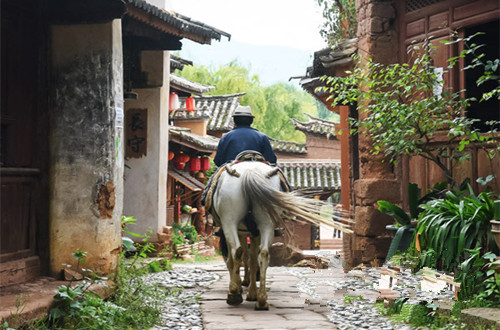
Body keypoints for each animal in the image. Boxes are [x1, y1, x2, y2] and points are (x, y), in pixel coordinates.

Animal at [211, 160, 352, 310]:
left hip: (230, 219)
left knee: (237, 252)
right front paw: (251, 291)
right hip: (266, 220)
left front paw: (241, 288)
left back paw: (234, 295)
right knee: (263, 253)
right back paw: (261, 300)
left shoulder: (239, 232)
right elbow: (252, 259)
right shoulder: (252, 233)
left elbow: (236, 260)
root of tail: (250, 172)